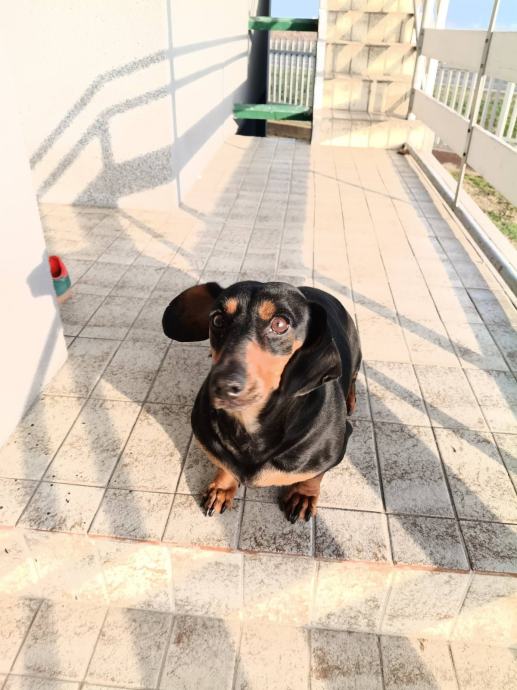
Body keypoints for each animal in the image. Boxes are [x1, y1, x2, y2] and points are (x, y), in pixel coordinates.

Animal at [162, 281, 361, 523]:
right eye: (217, 319)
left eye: (280, 324)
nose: (222, 386)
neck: (250, 425)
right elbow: (225, 464)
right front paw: (222, 488)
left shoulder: (336, 449)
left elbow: (315, 475)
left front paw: (303, 495)